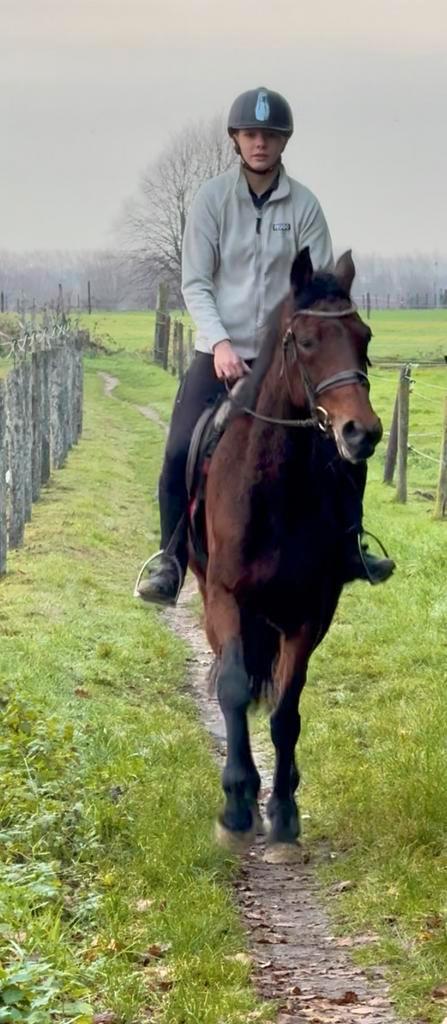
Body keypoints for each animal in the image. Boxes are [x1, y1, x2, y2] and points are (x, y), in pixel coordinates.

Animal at [188, 247, 383, 863]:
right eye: (307, 341)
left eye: (363, 335)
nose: (362, 433)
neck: (275, 489)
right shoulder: (226, 598)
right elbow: (232, 690)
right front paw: (236, 806)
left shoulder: (309, 612)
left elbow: (286, 713)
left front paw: (284, 812)